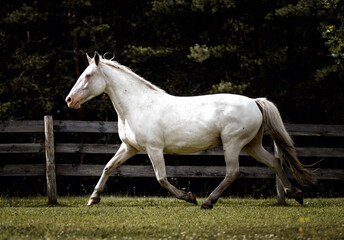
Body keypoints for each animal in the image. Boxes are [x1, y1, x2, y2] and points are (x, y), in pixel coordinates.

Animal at [66, 52, 316, 208]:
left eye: (88, 75)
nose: (69, 100)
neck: (137, 106)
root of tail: (255, 102)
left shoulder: (154, 149)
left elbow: (161, 178)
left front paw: (189, 197)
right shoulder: (129, 147)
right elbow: (108, 167)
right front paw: (93, 198)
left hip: (232, 144)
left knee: (233, 172)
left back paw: (207, 202)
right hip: (251, 145)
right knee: (274, 162)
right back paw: (296, 194)